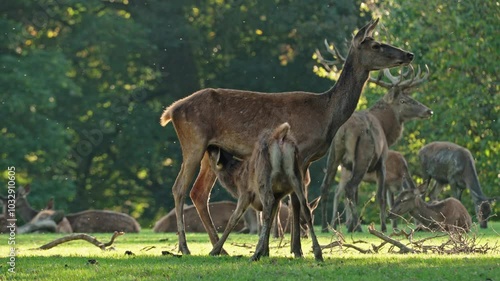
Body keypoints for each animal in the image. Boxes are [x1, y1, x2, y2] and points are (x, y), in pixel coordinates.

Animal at [206, 122, 320, 260]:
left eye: (211, 154)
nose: (209, 146)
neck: (236, 178)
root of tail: (280, 137)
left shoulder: (245, 193)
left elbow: (234, 218)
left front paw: (214, 251)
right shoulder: (278, 195)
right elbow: (270, 219)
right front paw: (266, 252)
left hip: (263, 176)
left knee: (268, 203)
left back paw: (255, 254)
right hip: (297, 174)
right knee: (305, 206)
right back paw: (318, 253)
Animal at [316, 64, 434, 232]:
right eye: (404, 100)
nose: (429, 111)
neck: (386, 129)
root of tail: (345, 129)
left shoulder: (348, 164)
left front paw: (350, 225)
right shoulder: (381, 162)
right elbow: (381, 196)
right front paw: (383, 226)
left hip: (334, 154)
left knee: (326, 186)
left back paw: (326, 227)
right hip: (363, 156)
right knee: (349, 187)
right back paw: (357, 226)